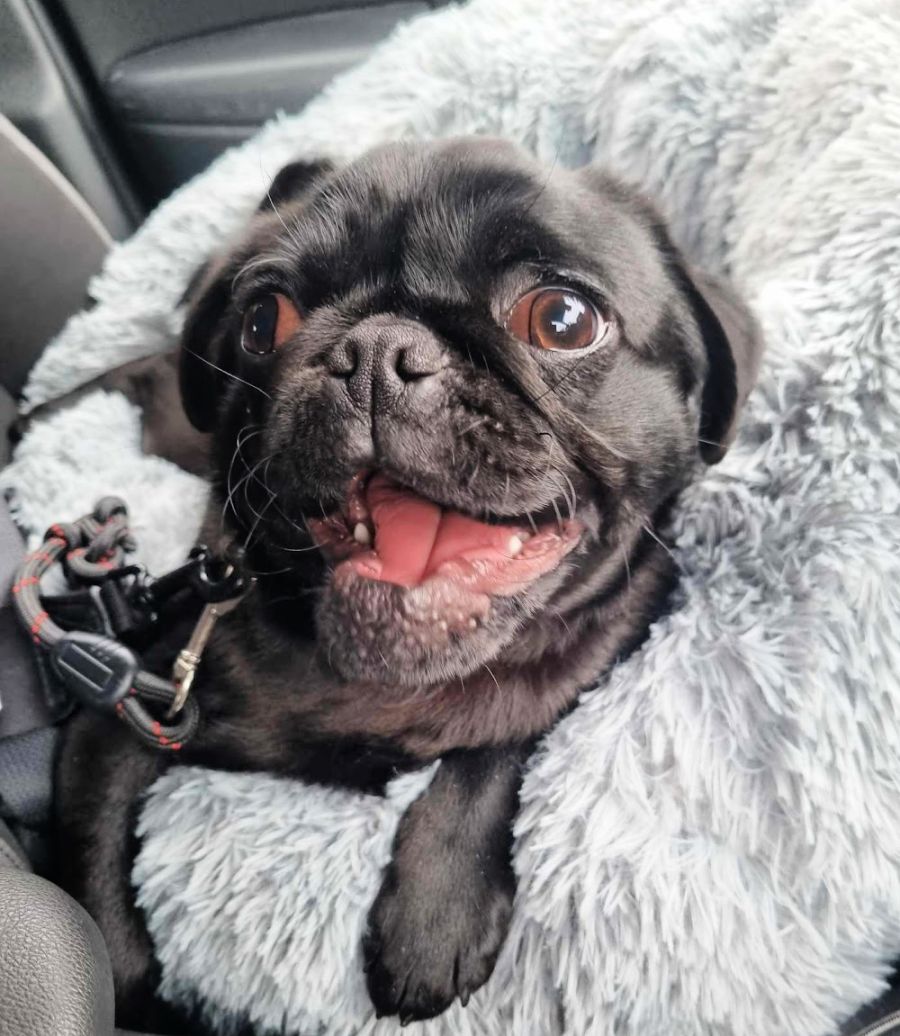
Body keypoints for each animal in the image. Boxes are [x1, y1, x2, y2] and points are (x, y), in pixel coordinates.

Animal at [52, 137, 761, 1032]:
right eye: (263, 322)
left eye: (562, 320)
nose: (376, 352)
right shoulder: (126, 711)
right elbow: (97, 908)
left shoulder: (596, 657)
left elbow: (498, 743)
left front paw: (435, 913)